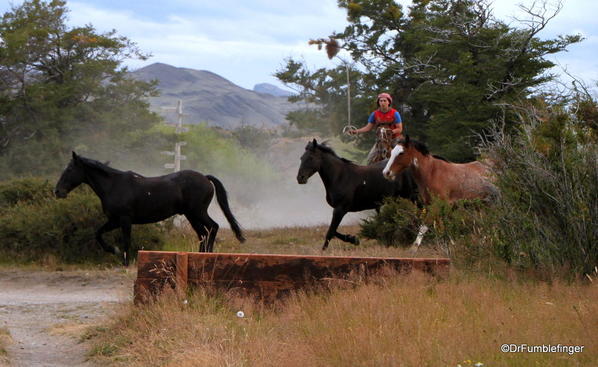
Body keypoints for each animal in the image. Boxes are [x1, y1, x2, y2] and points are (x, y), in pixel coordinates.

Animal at [54, 151, 246, 266]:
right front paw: (113, 250)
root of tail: (205, 178)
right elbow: (98, 233)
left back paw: (208, 255)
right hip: (191, 215)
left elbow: (126, 240)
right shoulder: (114, 220)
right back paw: (200, 256)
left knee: (213, 227)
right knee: (203, 233)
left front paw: (124, 261)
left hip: (198, 212)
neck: (114, 185)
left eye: (70, 169)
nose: (57, 191)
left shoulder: (124, 220)